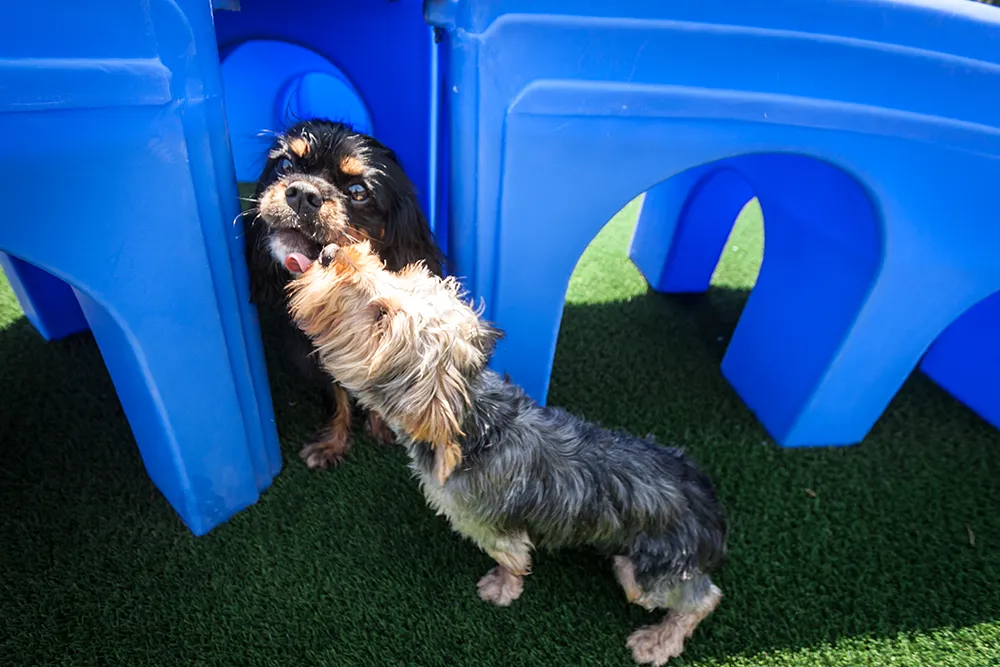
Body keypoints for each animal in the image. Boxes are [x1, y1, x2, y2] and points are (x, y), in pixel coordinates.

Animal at [243, 118, 442, 470]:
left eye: (358, 192)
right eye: (285, 165)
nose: (303, 193)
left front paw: (382, 428)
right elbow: (335, 395)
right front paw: (331, 444)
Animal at [286, 243, 732, 664]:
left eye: (381, 316)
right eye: (399, 274)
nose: (329, 253)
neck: (473, 423)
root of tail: (712, 512)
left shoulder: (491, 527)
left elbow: (513, 559)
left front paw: (502, 589)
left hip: (644, 572)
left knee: (703, 599)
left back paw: (659, 640)